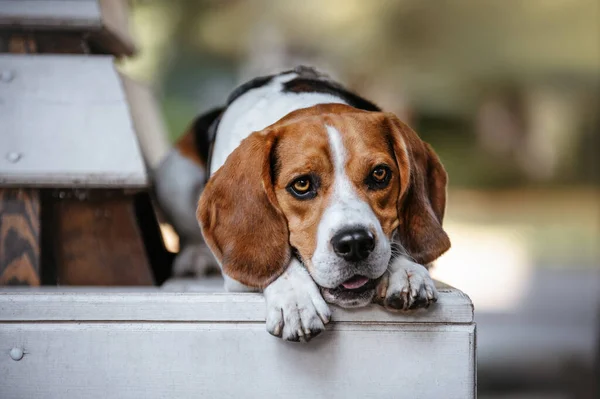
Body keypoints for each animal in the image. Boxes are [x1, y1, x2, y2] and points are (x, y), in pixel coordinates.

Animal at [155, 67, 450, 342]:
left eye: (379, 174)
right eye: (302, 184)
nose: (355, 243)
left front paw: (406, 269)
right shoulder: (237, 275)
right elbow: (279, 263)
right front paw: (295, 299)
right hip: (174, 177)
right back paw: (196, 256)